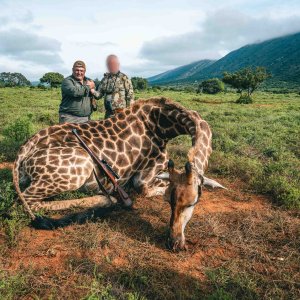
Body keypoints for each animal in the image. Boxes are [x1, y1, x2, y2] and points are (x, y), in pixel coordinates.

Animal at [12, 97, 223, 240]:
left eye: (192, 203)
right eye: (169, 202)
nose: (174, 241)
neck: (162, 126)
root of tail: (22, 152)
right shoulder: (146, 174)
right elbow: (148, 188)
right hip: (81, 165)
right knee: (23, 203)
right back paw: (107, 200)